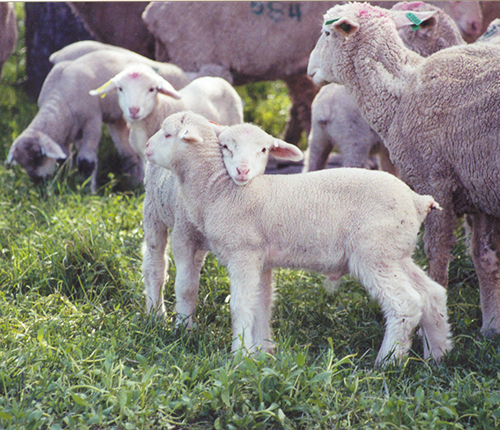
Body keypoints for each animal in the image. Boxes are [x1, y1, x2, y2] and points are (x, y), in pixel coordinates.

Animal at [5, 47, 189, 191]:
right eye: (22, 163)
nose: (38, 183)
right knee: (128, 153)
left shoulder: (91, 120)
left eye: (38, 156)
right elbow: (64, 159)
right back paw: (134, 181)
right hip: (117, 119)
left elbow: (86, 161)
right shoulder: (66, 131)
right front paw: (64, 182)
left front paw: (88, 190)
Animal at [144, 110, 454, 366]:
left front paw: (240, 356)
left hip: (374, 253)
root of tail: (417, 200)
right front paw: (261, 353)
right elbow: (261, 304)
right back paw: (438, 356)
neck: (220, 190)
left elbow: (240, 305)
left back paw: (388, 362)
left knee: (406, 303)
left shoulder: (243, 254)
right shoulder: (261, 259)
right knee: (432, 294)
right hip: (395, 251)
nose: (146, 147)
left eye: (168, 133)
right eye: (226, 147)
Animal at [308, 0, 500, 336]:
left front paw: (431, 328)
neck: (402, 90)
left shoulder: (434, 182)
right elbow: (485, 258)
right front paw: (491, 327)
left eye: (327, 33)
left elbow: (437, 256)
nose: (309, 68)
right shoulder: (479, 189)